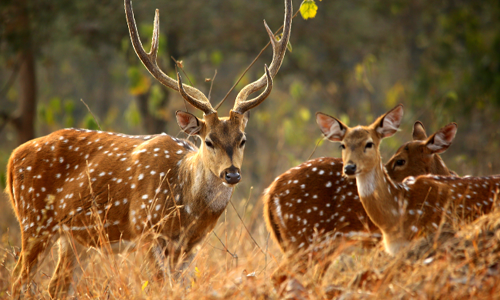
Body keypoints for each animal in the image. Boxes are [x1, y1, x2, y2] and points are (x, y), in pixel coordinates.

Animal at [5, 0, 292, 296]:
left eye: (242, 139)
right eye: (208, 140)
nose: (232, 174)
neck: (188, 211)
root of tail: (13, 158)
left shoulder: (189, 247)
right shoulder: (145, 230)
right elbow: (159, 286)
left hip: (74, 238)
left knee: (56, 287)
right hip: (34, 221)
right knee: (17, 280)